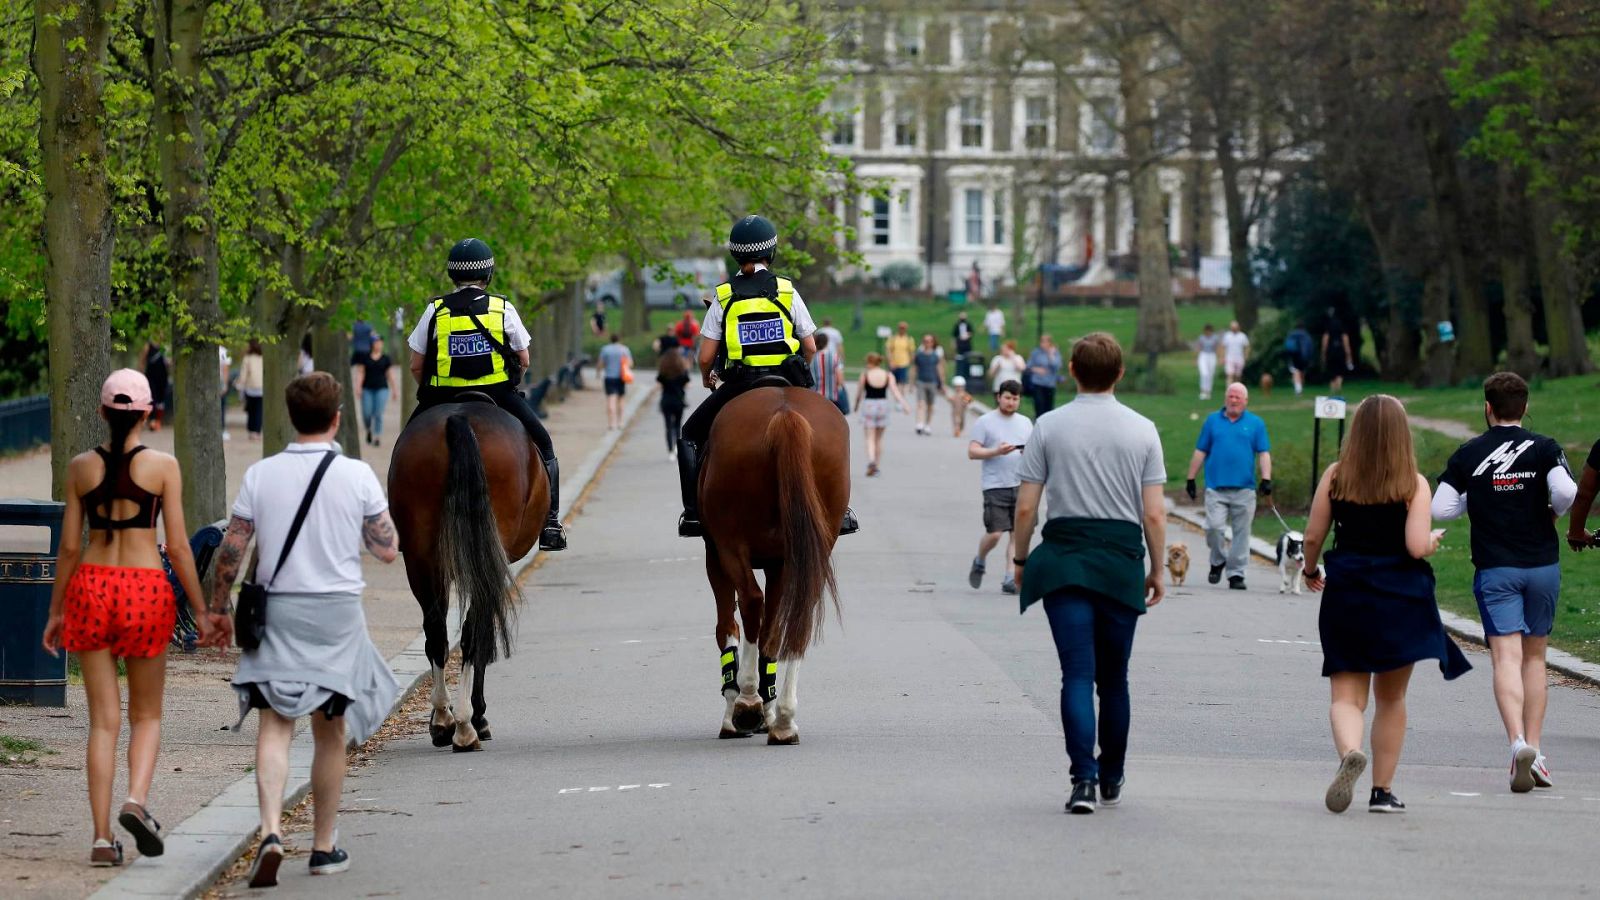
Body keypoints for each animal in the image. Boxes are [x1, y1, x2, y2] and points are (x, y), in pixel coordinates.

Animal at [387, 398, 550, 749]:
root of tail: (458, 417)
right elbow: (483, 636)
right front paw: (480, 716)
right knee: (472, 633)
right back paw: (465, 725)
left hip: (421, 557)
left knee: (436, 632)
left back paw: (443, 719)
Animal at [700, 385, 851, 743]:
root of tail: (785, 414)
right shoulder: (779, 563)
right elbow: (773, 626)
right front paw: (767, 710)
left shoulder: (716, 555)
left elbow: (728, 627)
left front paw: (737, 711)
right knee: (798, 617)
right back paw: (783, 719)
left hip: (730, 544)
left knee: (751, 604)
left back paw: (747, 701)